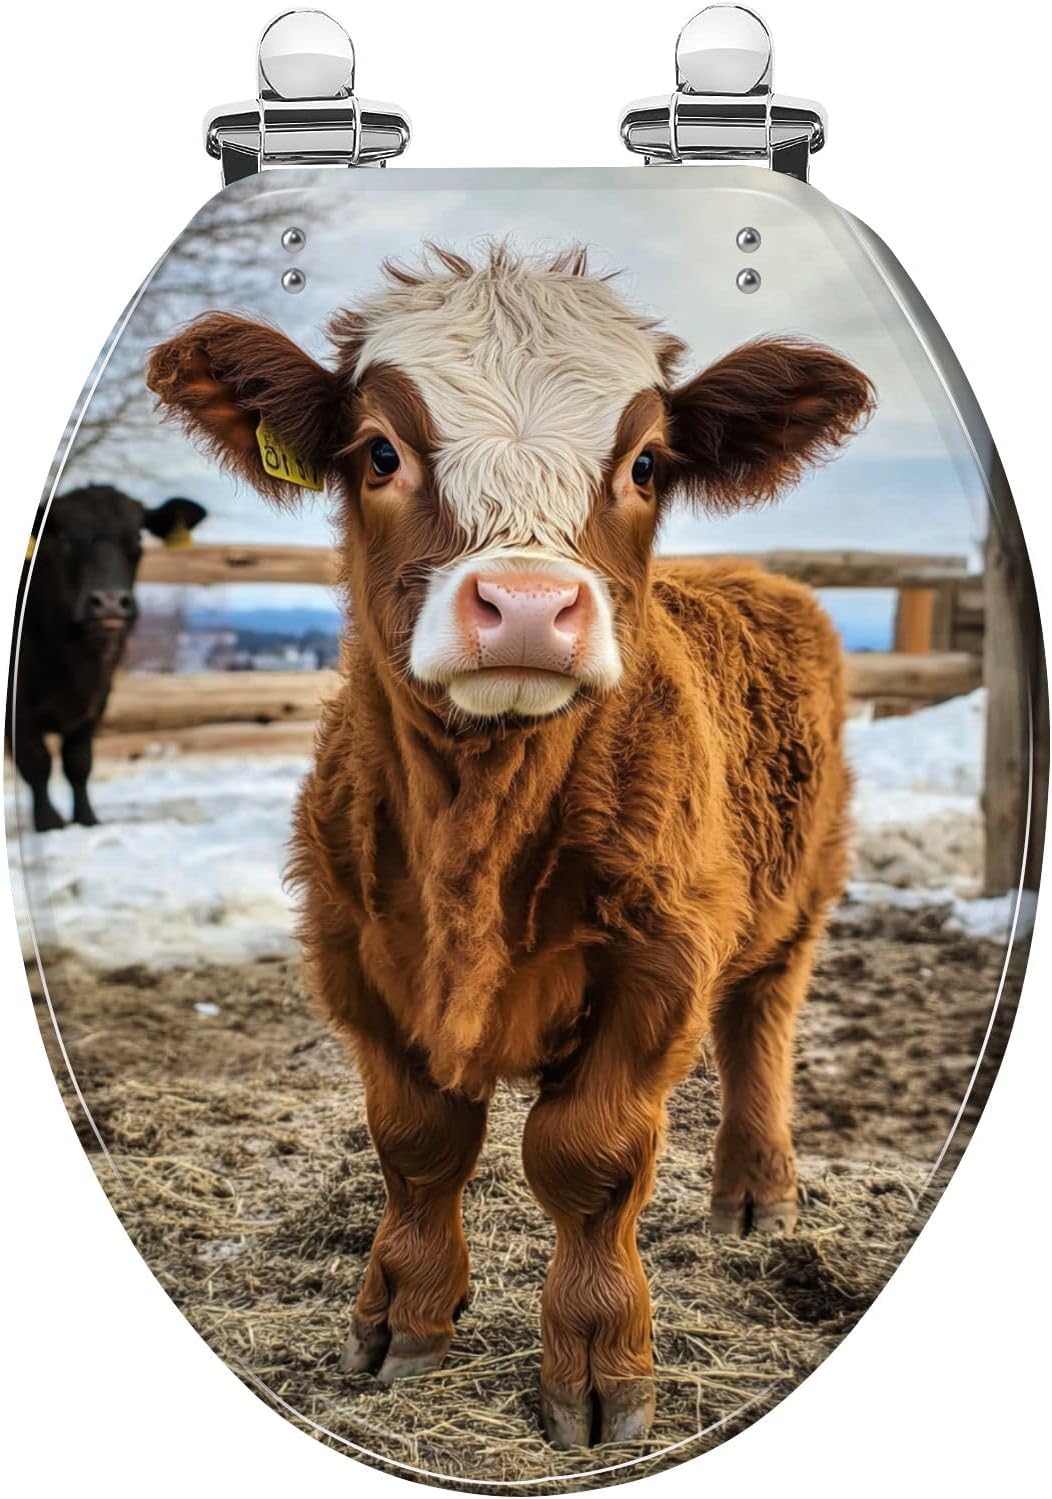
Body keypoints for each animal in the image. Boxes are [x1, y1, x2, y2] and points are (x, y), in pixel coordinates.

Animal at [8, 485, 206, 831]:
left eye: (137, 536)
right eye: (64, 536)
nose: (110, 603)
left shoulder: (97, 700)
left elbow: (78, 761)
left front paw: (87, 818)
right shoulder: (17, 708)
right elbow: (36, 762)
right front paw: (49, 822)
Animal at [146, 245, 873, 1448]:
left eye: (643, 463)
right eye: (380, 450)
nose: (529, 604)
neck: (474, 838)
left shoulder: (659, 961)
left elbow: (586, 1153)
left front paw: (598, 1370)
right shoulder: (351, 952)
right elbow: (417, 1139)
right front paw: (402, 1320)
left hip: (798, 892)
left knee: (760, 1022)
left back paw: (756, 1193)